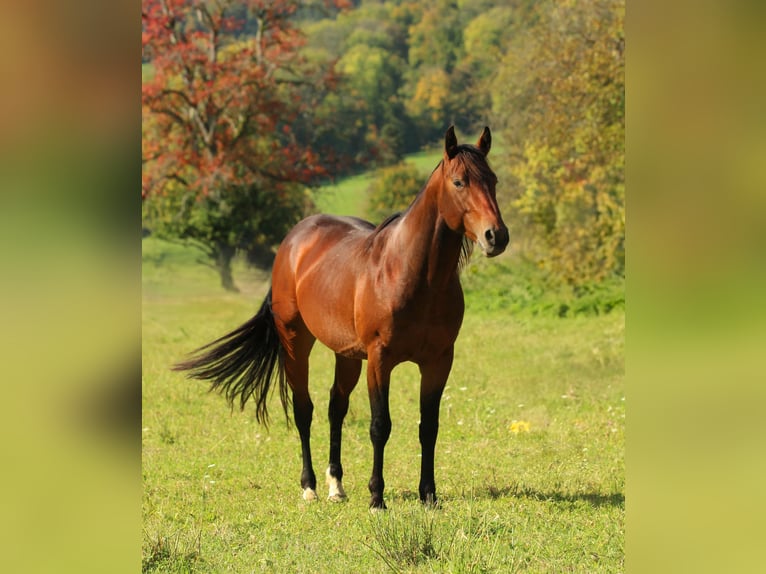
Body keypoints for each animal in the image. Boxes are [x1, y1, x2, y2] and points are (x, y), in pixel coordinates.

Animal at [174, 126, 509, 509]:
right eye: (459, 182)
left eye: (493, 180)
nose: (496, 236)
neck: (413, 274)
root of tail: (294, 241)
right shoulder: (380, 360)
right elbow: (380, 425)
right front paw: (377, 497)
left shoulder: (438, 361)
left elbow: (429, 427)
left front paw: (429, 496)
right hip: (296, 343)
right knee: (304, 410)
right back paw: (310, 487)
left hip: (347, 355)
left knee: (336, 407)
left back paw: (336, 485)